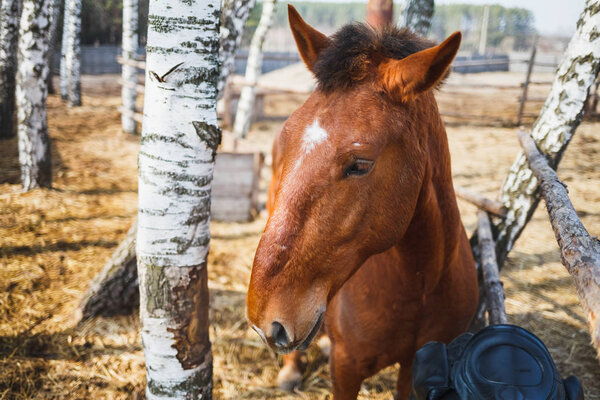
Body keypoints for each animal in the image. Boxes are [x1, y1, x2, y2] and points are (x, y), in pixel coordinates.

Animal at [246, 5, 476, 396]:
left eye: (360, 164)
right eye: (290, 137)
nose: (266, 320)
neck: (422, 284)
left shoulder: (416, 369)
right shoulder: (347, 369)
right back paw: (291, 371)